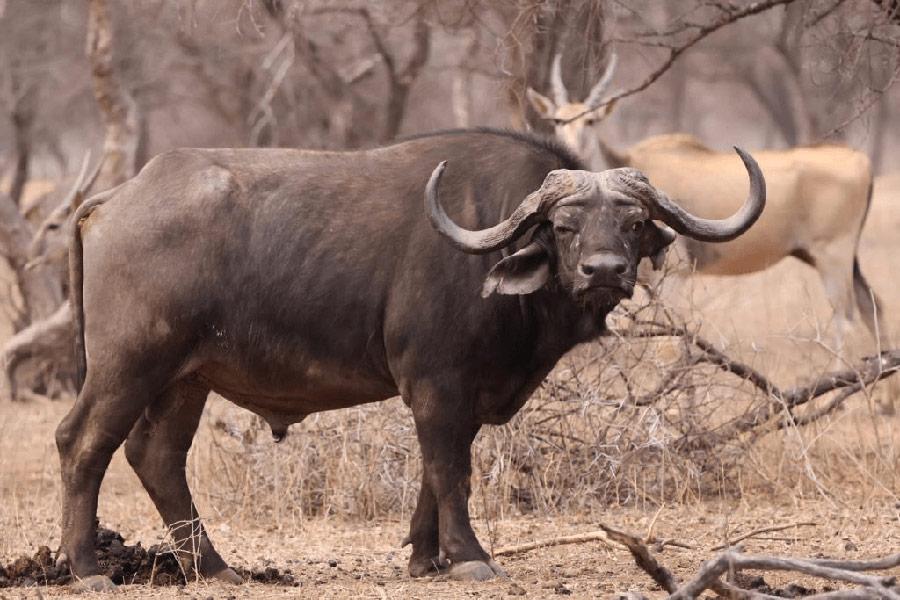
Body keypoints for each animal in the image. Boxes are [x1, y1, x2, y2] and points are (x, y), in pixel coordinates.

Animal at [56, 129, 764, 590]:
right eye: (564, 226)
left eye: (633, 223)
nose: (605, 271)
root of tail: (113, 200)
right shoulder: (436, 381)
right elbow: (451, 468)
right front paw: (471, 556)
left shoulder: (461, 392)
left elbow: (436, 466)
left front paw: (427, 557)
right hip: (129, 364)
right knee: (82, 442)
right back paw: (88, 570)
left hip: (186, 377)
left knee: (157, 456)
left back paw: (217, 568)